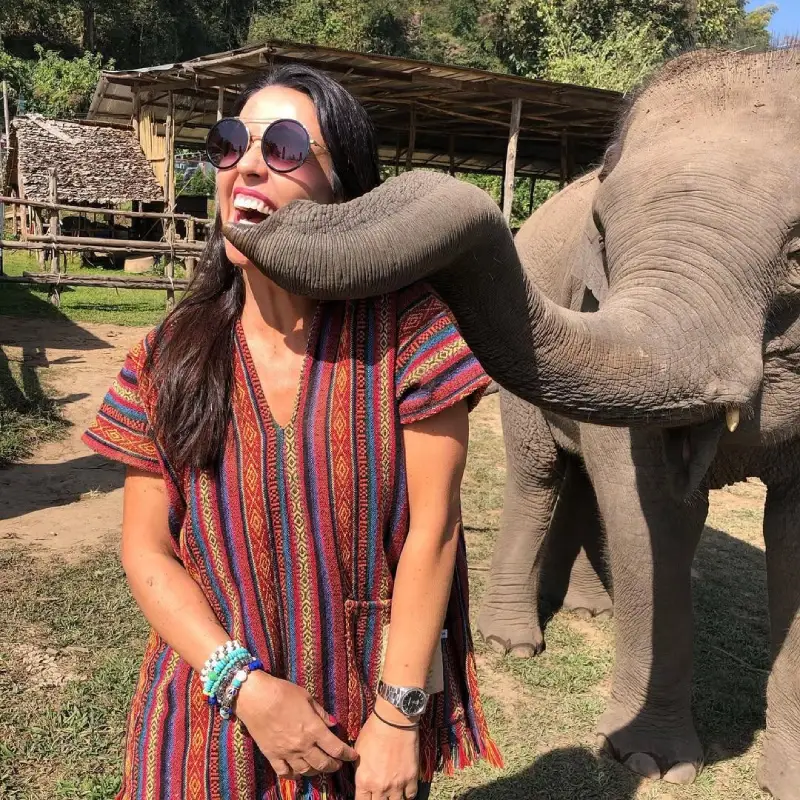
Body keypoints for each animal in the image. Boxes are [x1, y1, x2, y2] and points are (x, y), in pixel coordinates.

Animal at [224, 47, 800, 800]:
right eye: (603, 232)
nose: (247, 212)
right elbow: (651, 512)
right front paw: (648, 761)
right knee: (543, 476)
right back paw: (514, 642)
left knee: (579, 480)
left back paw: (587, 610)